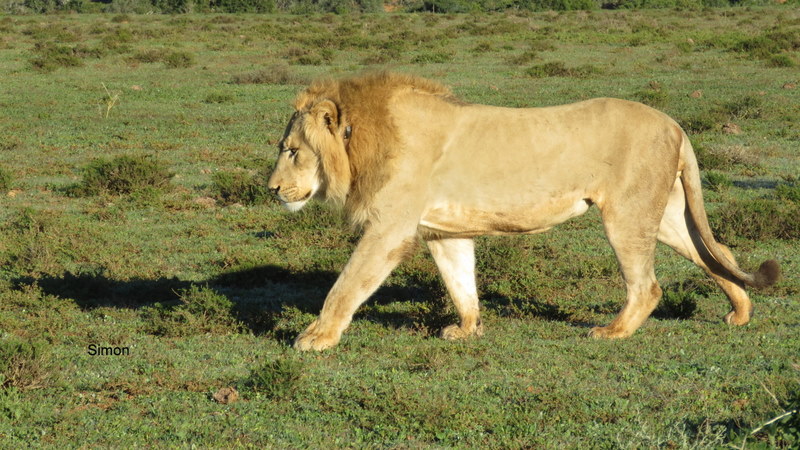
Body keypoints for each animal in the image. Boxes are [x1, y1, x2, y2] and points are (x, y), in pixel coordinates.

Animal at [266, 71, 780, 351]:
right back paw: (739, 312)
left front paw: (316, 338)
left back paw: (612, 332)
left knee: (648, 285)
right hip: (667, 212)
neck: (362, 142)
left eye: (291, 150)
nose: (271, 189)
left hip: (627, 214)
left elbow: (346, 284)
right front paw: (467, 330)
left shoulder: (389, 228)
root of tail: (675, 123)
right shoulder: (443, 232)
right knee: (718, 253)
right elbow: (461, 283)